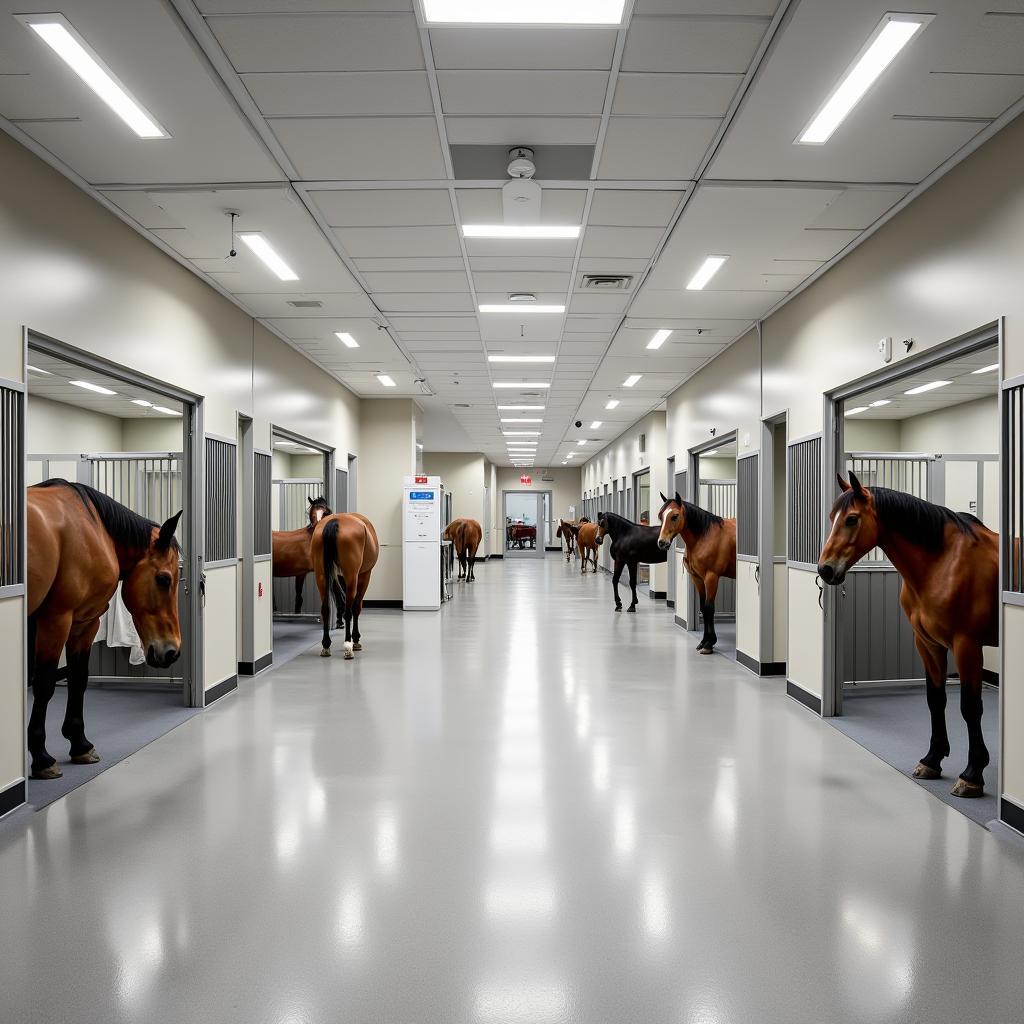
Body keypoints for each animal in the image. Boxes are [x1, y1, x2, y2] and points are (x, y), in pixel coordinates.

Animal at [27, 483, 183, 778]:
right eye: (163, 579)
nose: (173, 652)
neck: (95, 529)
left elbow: (77, 678)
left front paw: (79, 743)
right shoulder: (67, 620)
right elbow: (48, 683)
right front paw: (42, 757)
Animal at [311, 512, 380, 663]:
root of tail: (335, 521)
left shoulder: (338, 576)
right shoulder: (364, 575)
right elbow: (356, 607)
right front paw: (356, 639)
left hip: (321, 576)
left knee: (326, 609)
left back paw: (326, 645)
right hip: (352, 576)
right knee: (349, 611)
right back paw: (348, 645)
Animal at [655, 491, 737, 651]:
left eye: (674, 516)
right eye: (660, 515)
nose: (662, 543)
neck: (704, 536)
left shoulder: (711, 577)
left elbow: (709, 608)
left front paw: (709, 645)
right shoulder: (697, 578)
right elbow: (703, 608)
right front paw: (704, 641)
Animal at [815, 473, 999, 798]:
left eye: (851, 519)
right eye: (831, 517)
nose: (825, 569)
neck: (943, 563)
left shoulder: (967, 645)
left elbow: (970, 707)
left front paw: (972, 775)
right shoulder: (927, 644)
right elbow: (935, 699)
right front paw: (931, 760)